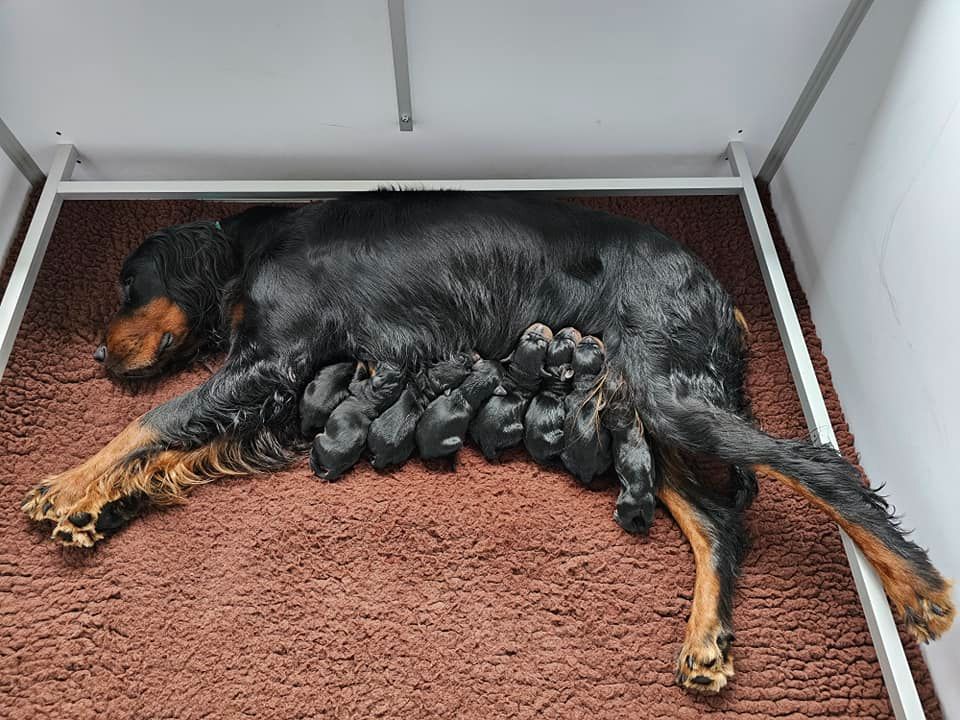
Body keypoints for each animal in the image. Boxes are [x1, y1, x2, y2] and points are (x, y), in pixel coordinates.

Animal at [468, 322, 552, 458]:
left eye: (525, 337)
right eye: (543, 344)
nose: (538, 329)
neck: (522, 374)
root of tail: (487, 443)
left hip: (473, 426)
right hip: (518, 431)